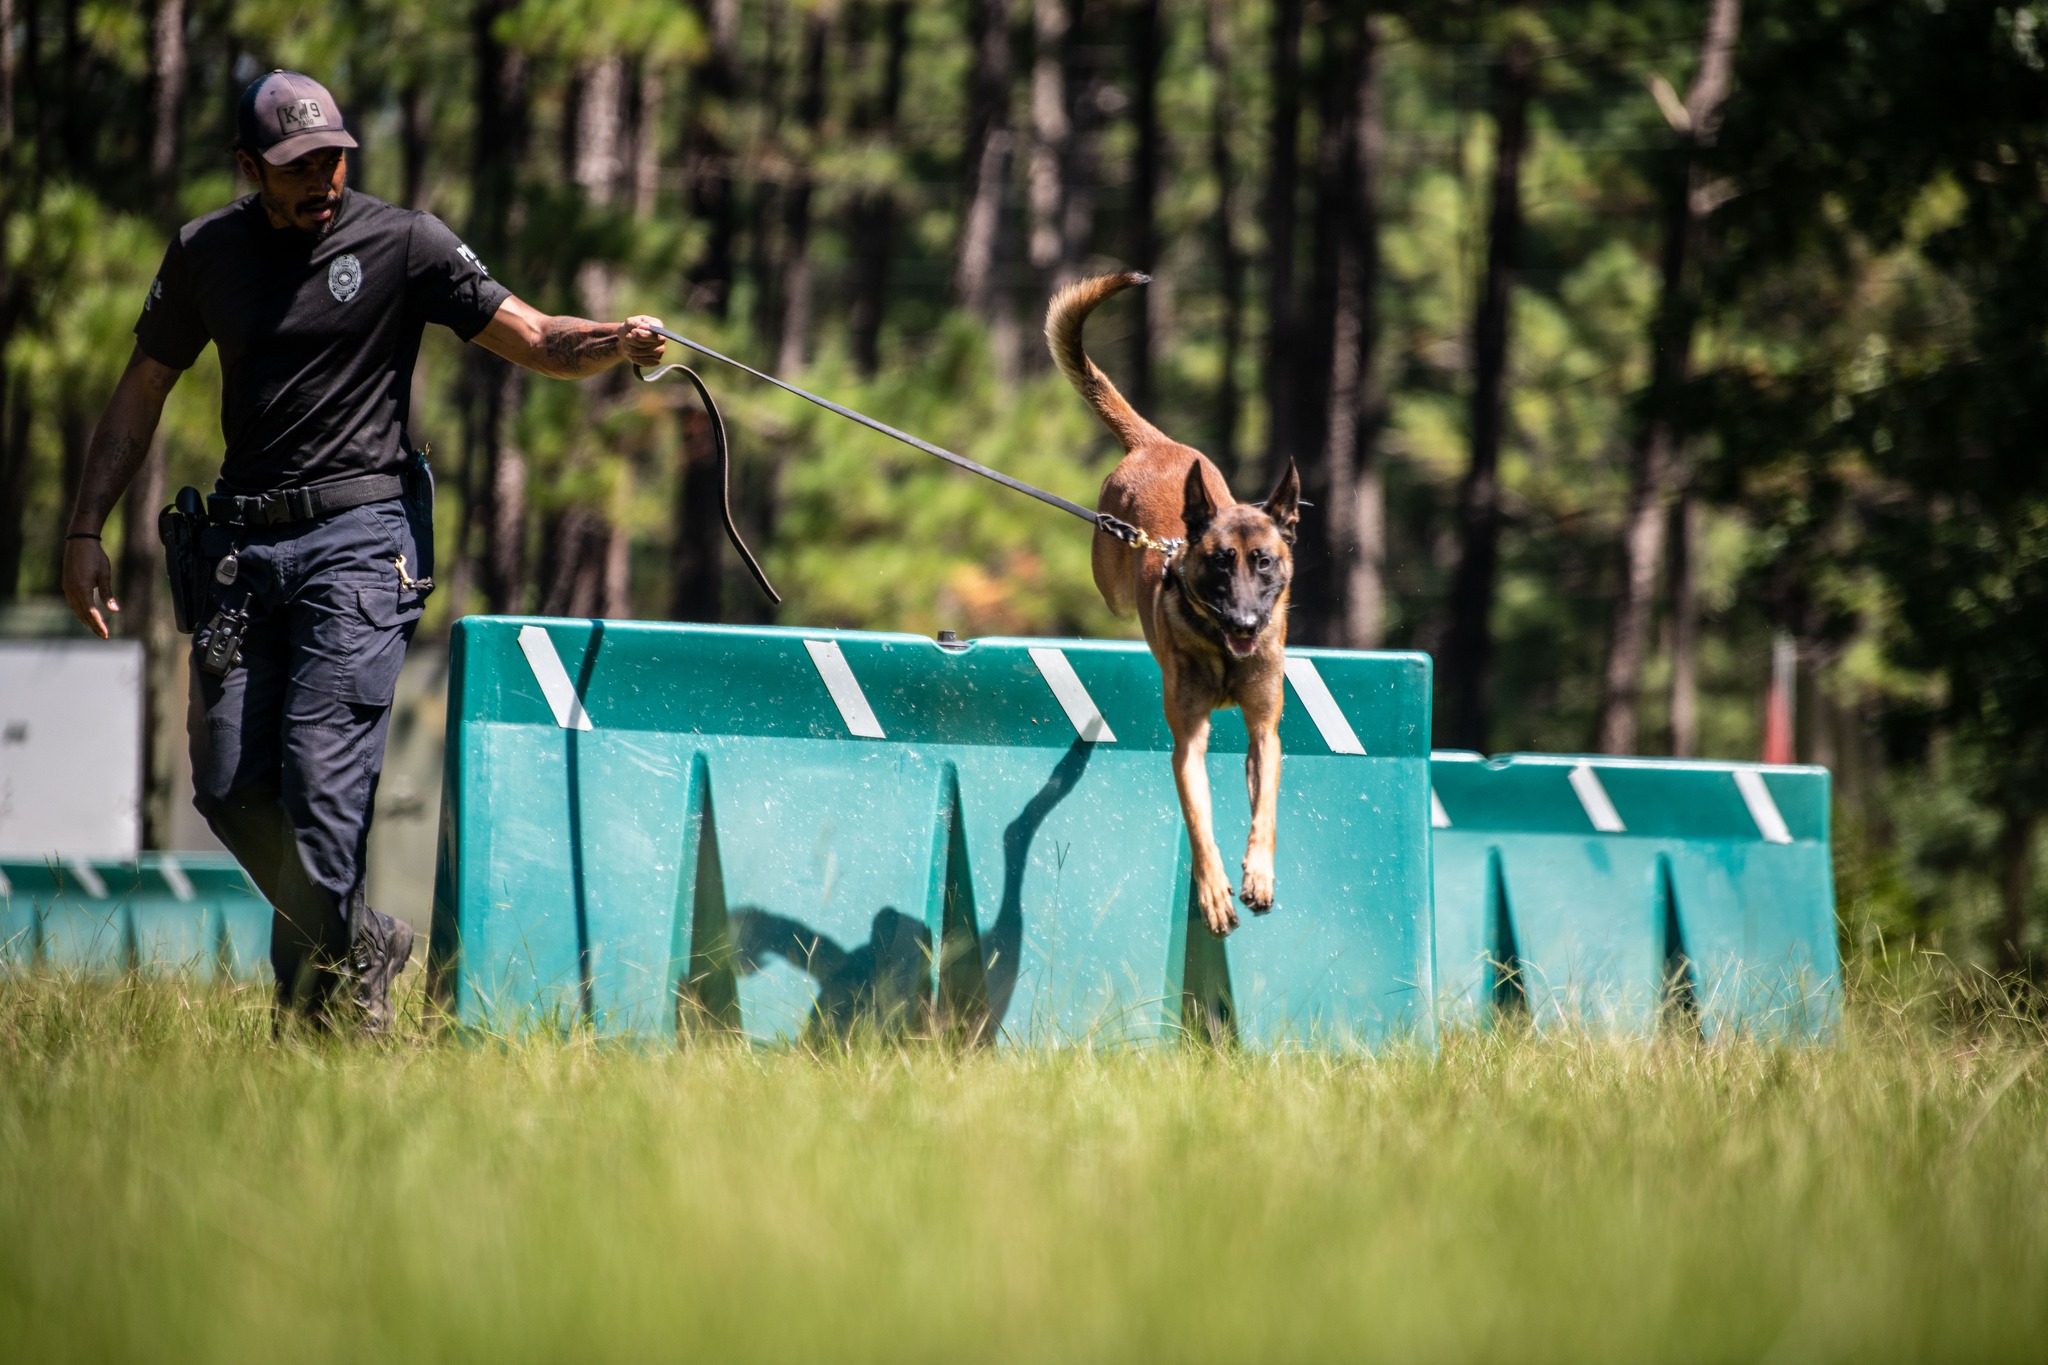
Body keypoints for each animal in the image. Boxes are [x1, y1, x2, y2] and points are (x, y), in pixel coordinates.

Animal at [1048, 278, 1302, 941]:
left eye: (1264, 564)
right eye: (1219, 565)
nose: (1244, 624)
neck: (1220, 648)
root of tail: (1156, 444)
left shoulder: (1264, 733)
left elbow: (1264, 811)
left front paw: (1258, 874)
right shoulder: (1188, 744)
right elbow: (1200, 823)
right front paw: (1212, 893)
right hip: (1110, 578)